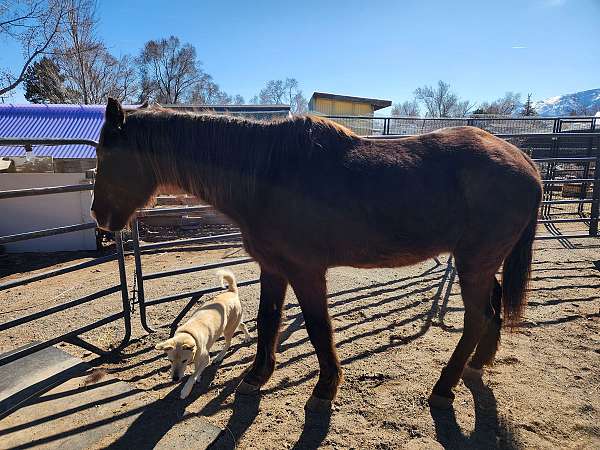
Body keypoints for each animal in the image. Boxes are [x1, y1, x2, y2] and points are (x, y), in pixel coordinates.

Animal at [155, 268, 251, 400]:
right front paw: (198, 377)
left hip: (227, 329)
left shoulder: (206, 358)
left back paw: (220, 356)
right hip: (232, 323)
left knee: (228, 343)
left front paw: (186, 390)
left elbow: (192, 374)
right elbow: (196, 369)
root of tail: (231, 292)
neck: (189, 333)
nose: (175, 379)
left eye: (184, 361)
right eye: (170, 360)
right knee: (242, 325)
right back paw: (247, 337)